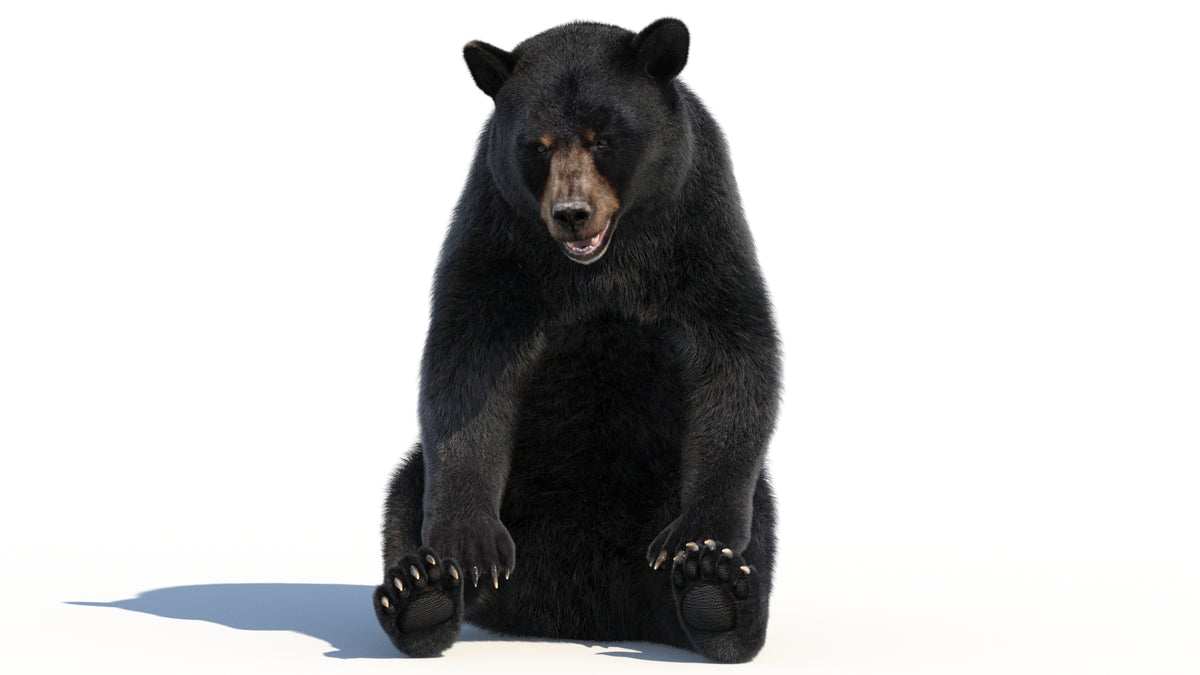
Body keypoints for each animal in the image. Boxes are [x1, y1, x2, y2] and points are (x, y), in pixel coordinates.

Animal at [372, 18, 780, 664]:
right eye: (536, 146)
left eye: (604, 138)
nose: (572, 213)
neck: (600, 266)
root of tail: (578, 614)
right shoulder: (500, 239)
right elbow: (466, 363)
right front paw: (470, 545)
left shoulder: (697, 229)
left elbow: (734, 352)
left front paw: (698, 541)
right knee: (406, 491)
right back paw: (422, 590)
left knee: (757, 518)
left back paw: (715, 595)